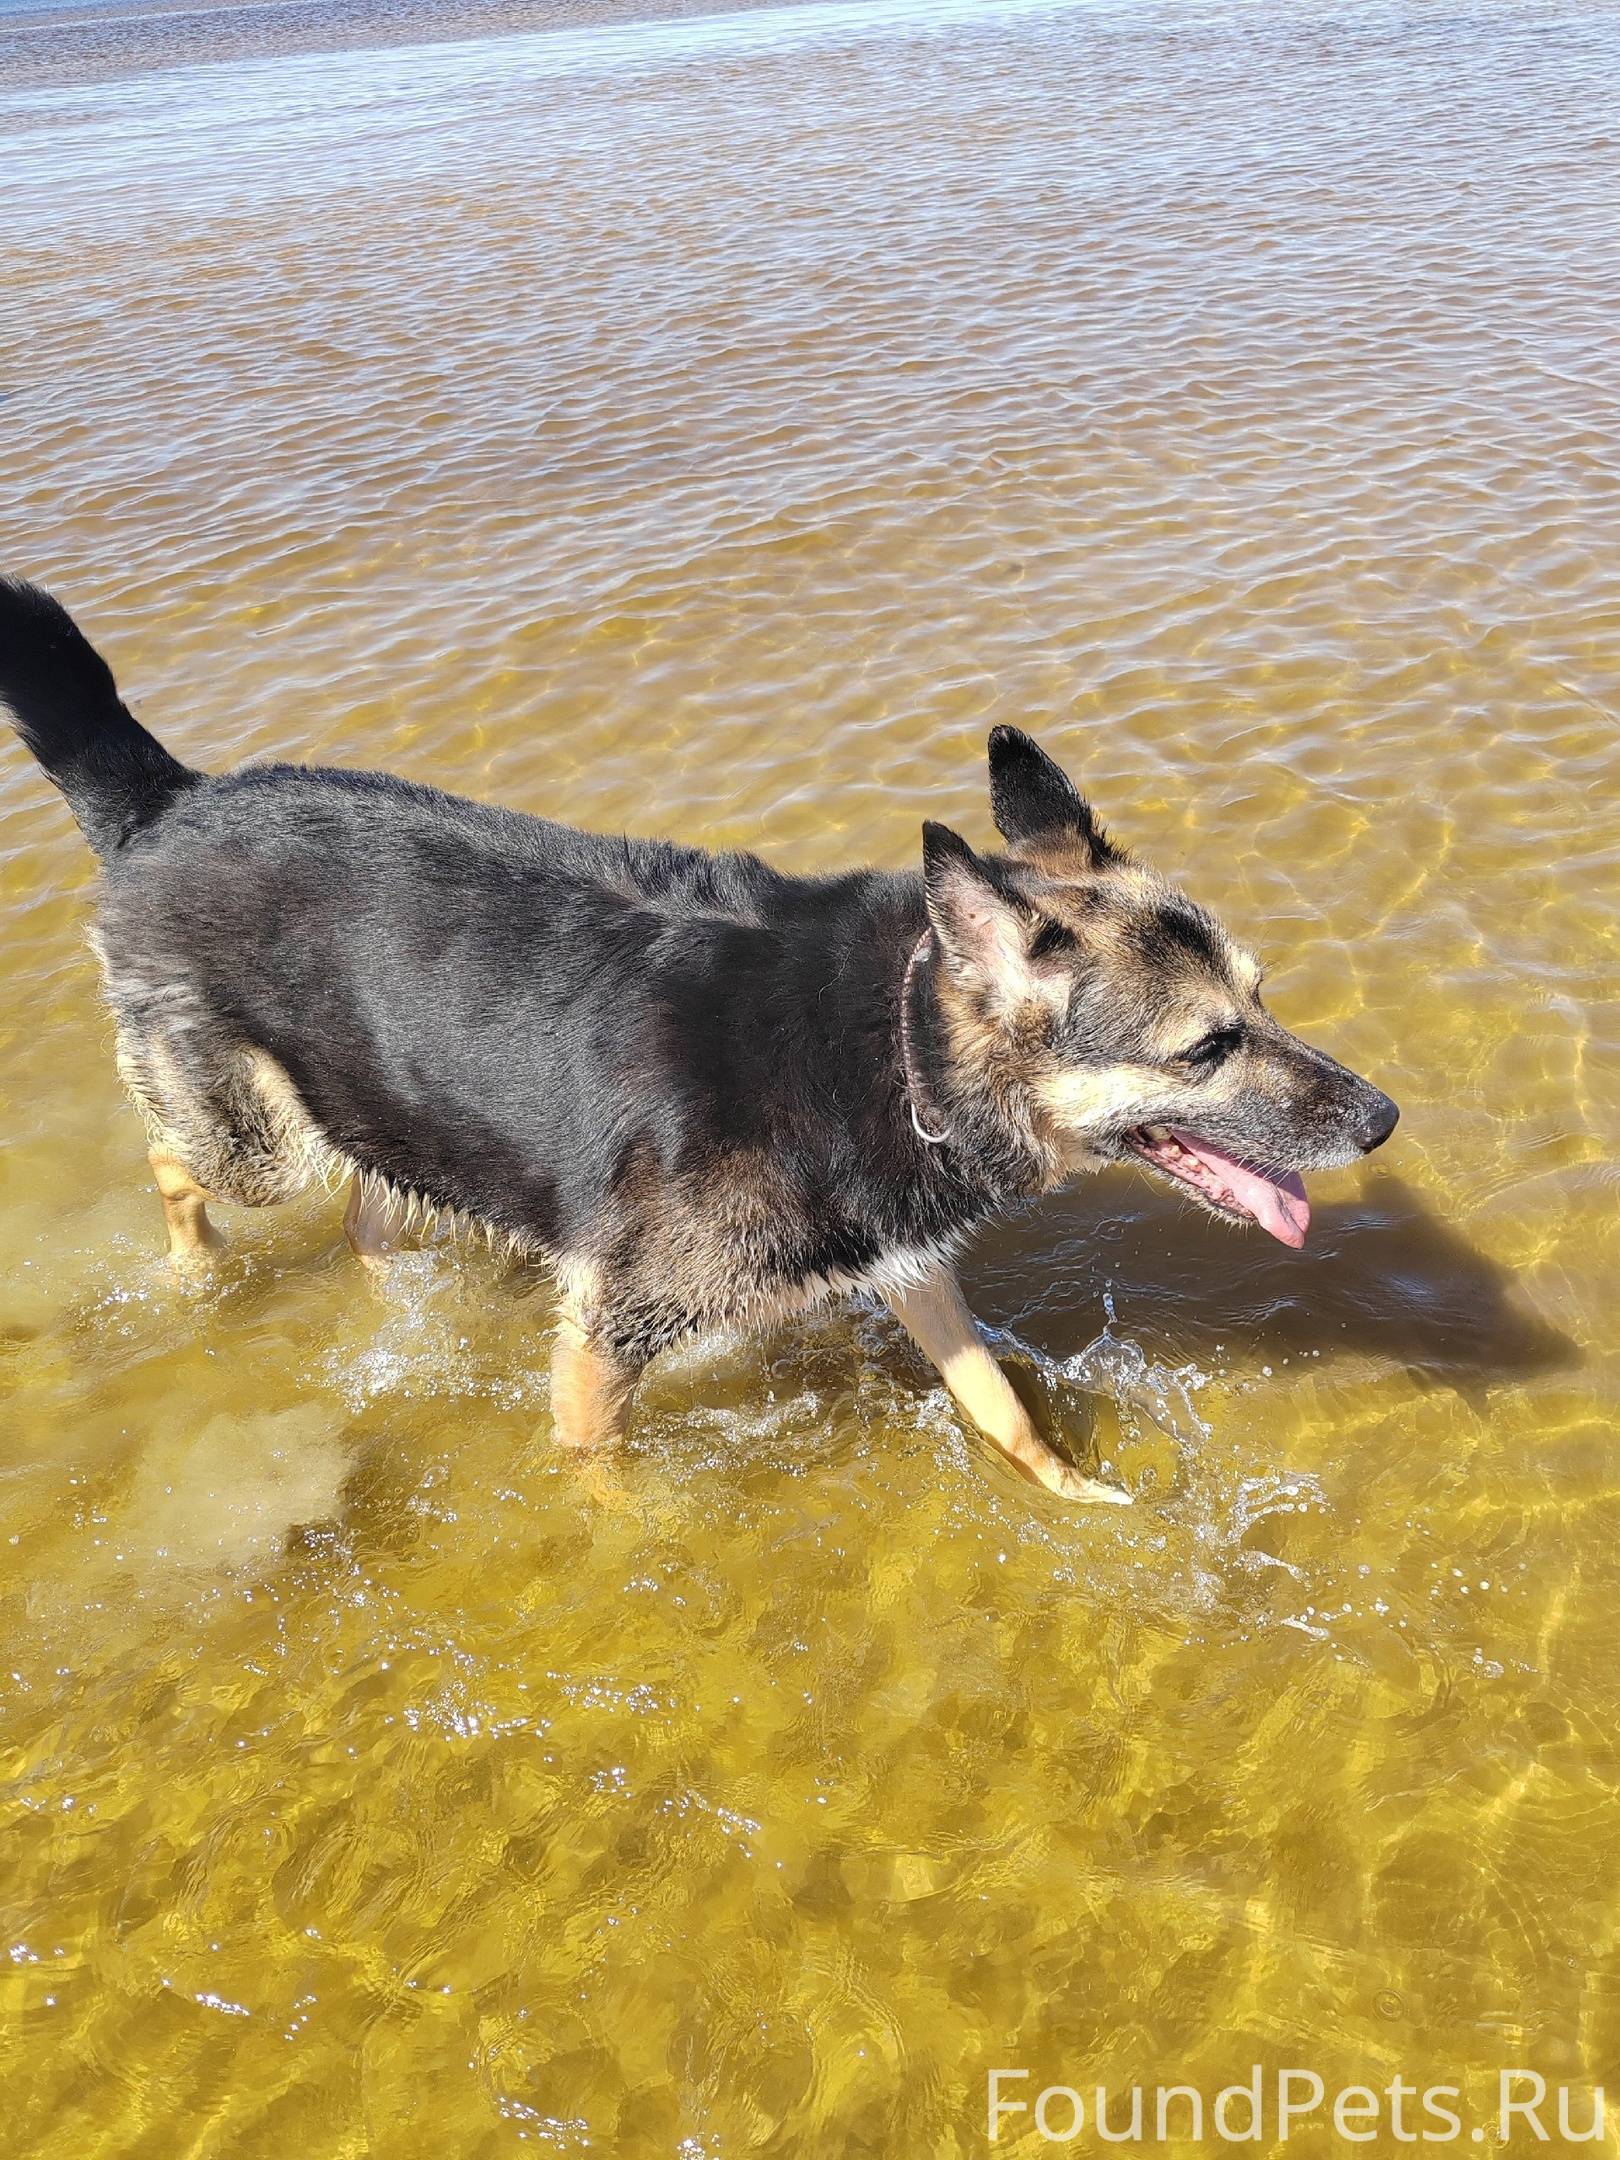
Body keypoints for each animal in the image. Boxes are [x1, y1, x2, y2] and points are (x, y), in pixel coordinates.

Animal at [0, 583, 1399, 1512]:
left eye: (1264, 998)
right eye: (1206, 1048)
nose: (1384, 1120)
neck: (894, 1044)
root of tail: (169, 802)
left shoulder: (909, 1266)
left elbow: (997, 1406)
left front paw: (1073, 1495)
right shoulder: (607, 1338)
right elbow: (602, 1475)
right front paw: (633, 1548)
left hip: (376, 1107)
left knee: (365, 1210)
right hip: (252, 1141)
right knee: (180, 1163)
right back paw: (192, 1273)